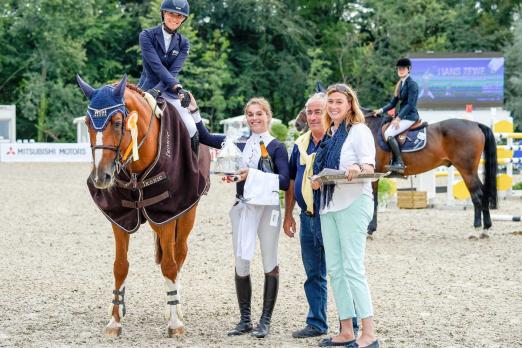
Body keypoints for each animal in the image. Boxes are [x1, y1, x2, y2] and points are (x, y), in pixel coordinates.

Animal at [75, 74, 209, 338]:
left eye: (118, 123)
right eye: (87, 123)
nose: (101, 177)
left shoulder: (167, 213)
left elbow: (169, 265)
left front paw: (175, 322)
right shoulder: (121, 218)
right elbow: (120, 266)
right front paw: (115, 320)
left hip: (185, 213)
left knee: (179, 254)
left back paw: (175, 306)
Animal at [362, 111, 496, 237]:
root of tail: (476, 124)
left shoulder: (373, 173)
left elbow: (374, 200)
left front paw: (370, 229)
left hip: (467, 171)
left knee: (477, 195)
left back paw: (477, 229)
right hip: (471, 171)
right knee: (483, 193)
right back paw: (486, 228)